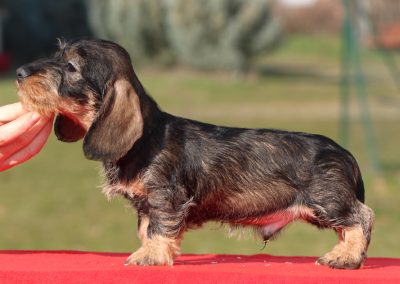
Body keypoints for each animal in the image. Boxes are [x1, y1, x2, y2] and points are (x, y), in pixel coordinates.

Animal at [15, 38, 374, 270]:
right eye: (57, 54)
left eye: (71, 66)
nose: (18, 73)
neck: (145, 138)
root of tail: (345, 153)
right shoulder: (146, 205)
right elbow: (147, 229)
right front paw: (153, 250)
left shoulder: (166, 196)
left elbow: (159, 228)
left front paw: (150, 256)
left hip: (328, 200)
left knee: (362, 218)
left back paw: (344, 257)